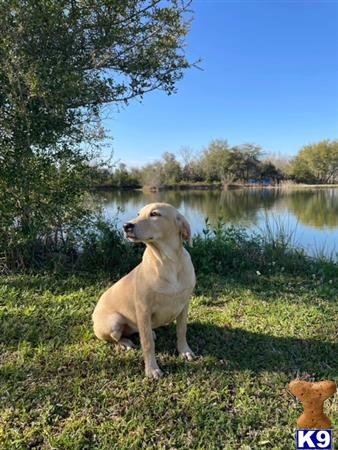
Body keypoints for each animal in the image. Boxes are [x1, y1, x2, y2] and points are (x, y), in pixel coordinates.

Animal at [92, 202, 197, 378]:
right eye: (138, 213)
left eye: (155, 214)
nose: (126, 226)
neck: (168, 262)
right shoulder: (143, 309)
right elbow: (147, 343)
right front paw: (152, 369)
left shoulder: (184, 306)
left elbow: (182, 331)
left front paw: (185, 351)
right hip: (113, 322)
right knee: (115, 338)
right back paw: (125, 343)